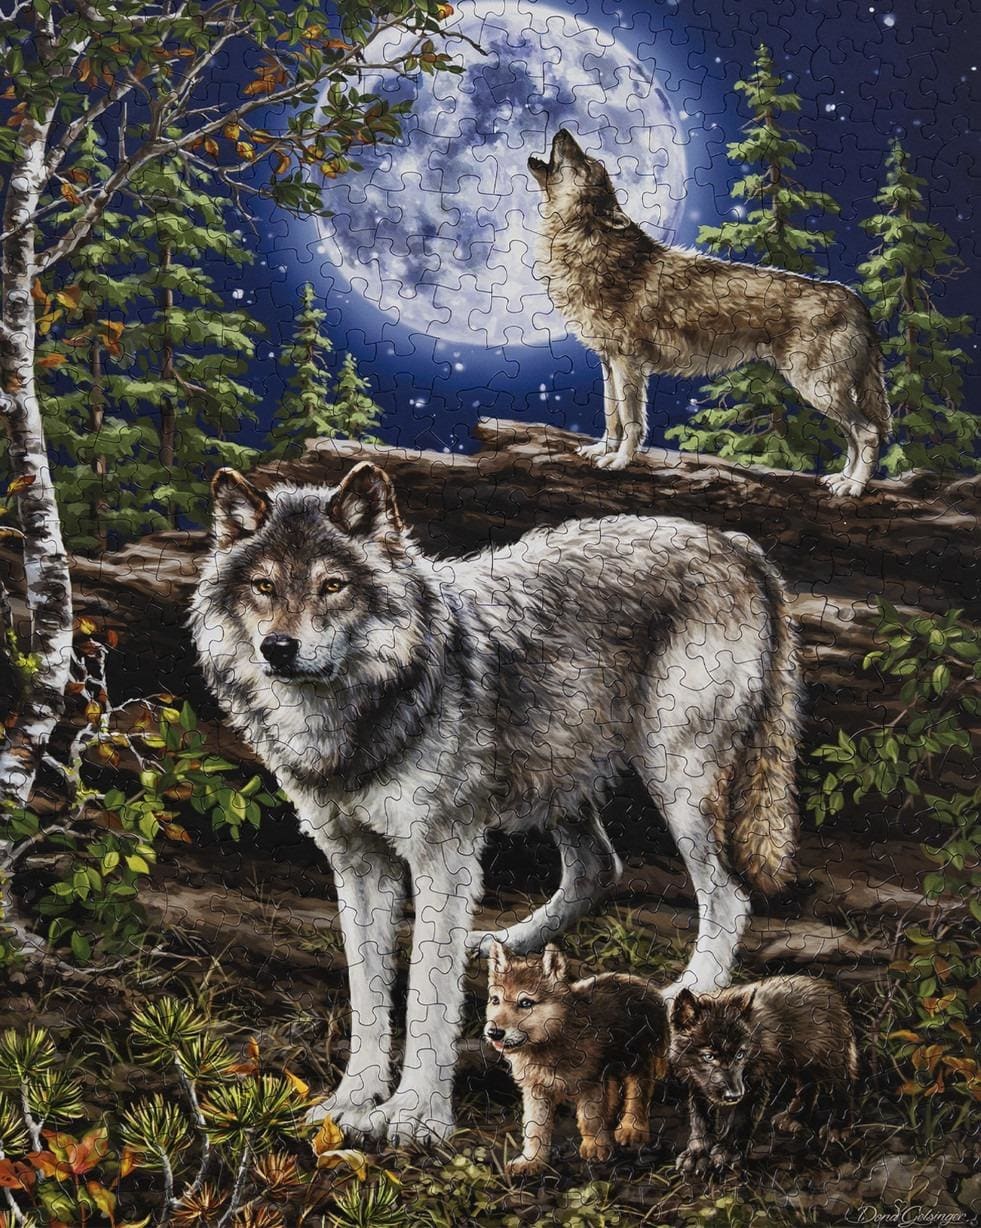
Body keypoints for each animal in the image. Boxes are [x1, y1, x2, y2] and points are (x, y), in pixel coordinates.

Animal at [190, 459, 802, 1146]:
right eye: (264, 586)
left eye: (333, 585)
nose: (277, 648)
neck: (355, 717)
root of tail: (737, 544)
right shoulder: (356, 864)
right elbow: (367, 998)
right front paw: (352, 1101)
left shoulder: (442, 857)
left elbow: (427, 997)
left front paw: (414, 1116)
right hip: (561, 774)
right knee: (599, 867)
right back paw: (508, 942)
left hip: (678, 781)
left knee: (727, 897)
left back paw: (682, 998)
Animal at [484, 942, 668, 1173]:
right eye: (495, 1000)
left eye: (526, 1003)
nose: (494, 1032)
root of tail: (649, 987)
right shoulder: (536, 1089)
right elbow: (535, 1128)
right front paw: (531, 1161)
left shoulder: (590, 1081)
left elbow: (591, 1117)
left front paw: (595, 1149)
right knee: (614, 1091)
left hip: (637, 1060)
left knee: (639, 1093)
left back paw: (631, 1129)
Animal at [528, 129, 891, 496]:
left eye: (585, 164)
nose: (562, 131)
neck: (590, 248)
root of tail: (856, 301)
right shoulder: (608, 362)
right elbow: (610, 416)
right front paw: (601, 450)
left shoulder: (628, 364)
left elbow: (631, 421)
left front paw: (619, 461)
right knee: (856, 435)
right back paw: (842, 479)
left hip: (817, 388)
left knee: (869, 432)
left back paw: (853, 486)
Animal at [669, 975, 859, 1176]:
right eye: (709, 1056)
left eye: (740, 1054)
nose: (734, 1096)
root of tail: (828, 990)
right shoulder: (699, 1085)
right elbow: (700, 1121)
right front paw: (697, 1154)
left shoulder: (754, 1083)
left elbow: (740, 1119)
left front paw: (728, 1152)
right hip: (798, 1065)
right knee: (810, 1087)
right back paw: (795, 1117)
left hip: (829, 1064)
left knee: (843, 1089)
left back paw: (838, 1126)